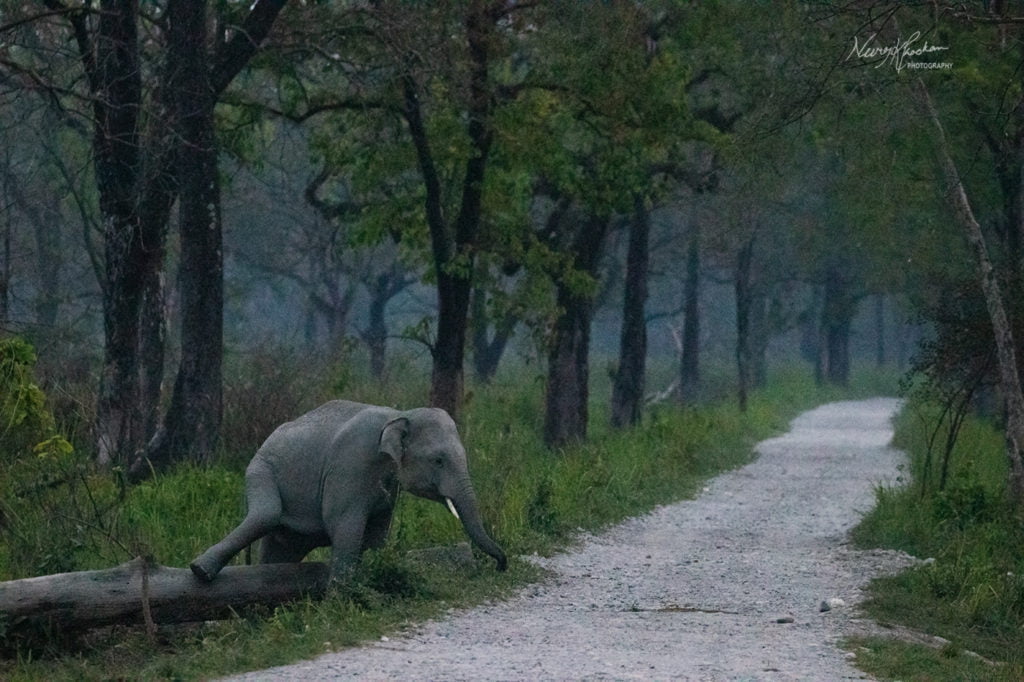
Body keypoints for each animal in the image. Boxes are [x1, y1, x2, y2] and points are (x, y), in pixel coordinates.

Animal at [189, 399, 507, 577]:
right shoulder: (350, 465)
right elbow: (345, 526)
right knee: (265, 515)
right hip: (260, 469)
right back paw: (200, 571)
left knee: (279, 549)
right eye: (438, 460)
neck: (399, 414)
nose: (501, 566)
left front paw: (376, 579)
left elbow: (377, 532)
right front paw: (341, 600)